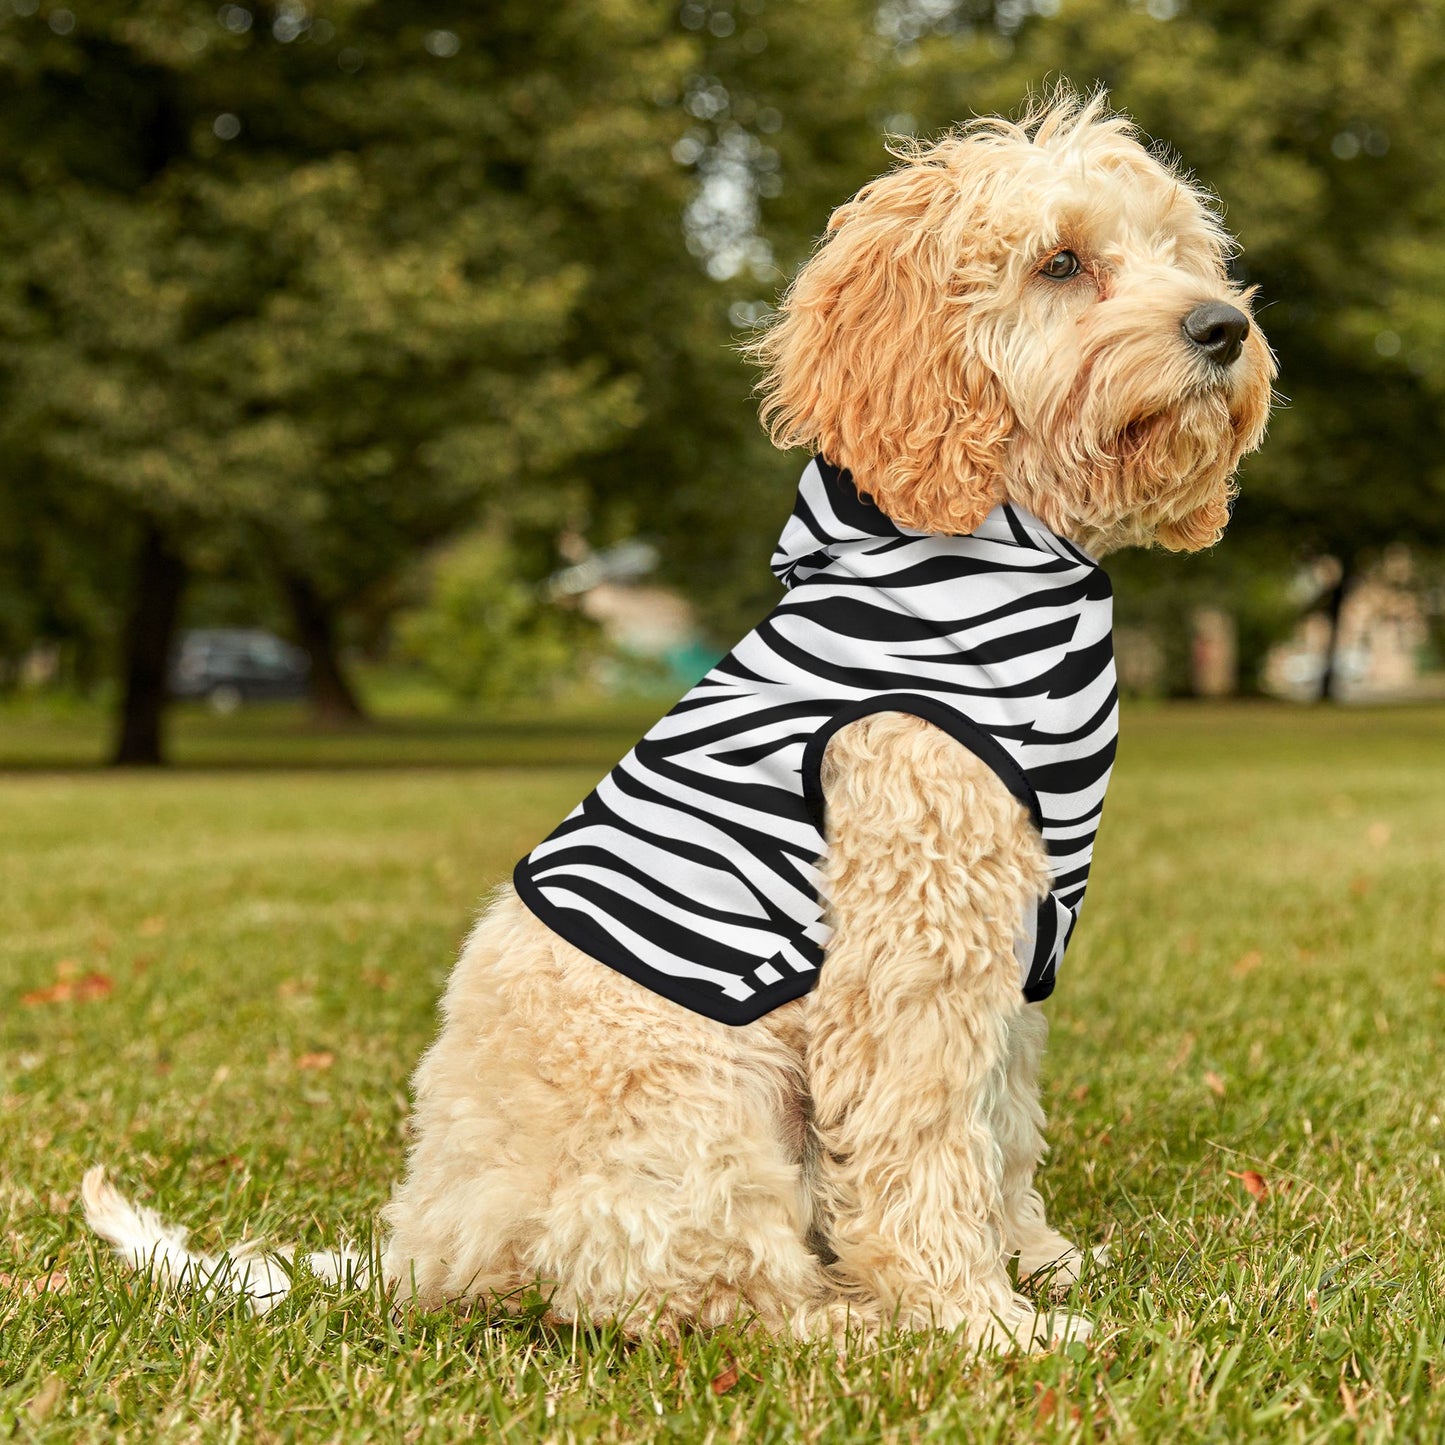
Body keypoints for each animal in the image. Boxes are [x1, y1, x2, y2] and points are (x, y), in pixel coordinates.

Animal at [84, 96, 1271, 1346]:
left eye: (1180, 252)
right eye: (1060, 262)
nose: (1222, 327)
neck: (993, 553)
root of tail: (423, 1249)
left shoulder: (1013, 937)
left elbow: (999, 1121)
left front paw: (1035, 1259)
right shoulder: (913, 942)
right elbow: (924, 1142)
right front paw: (977, 1319)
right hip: (703, 1102)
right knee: (701, 1288)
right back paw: (849, 1320)